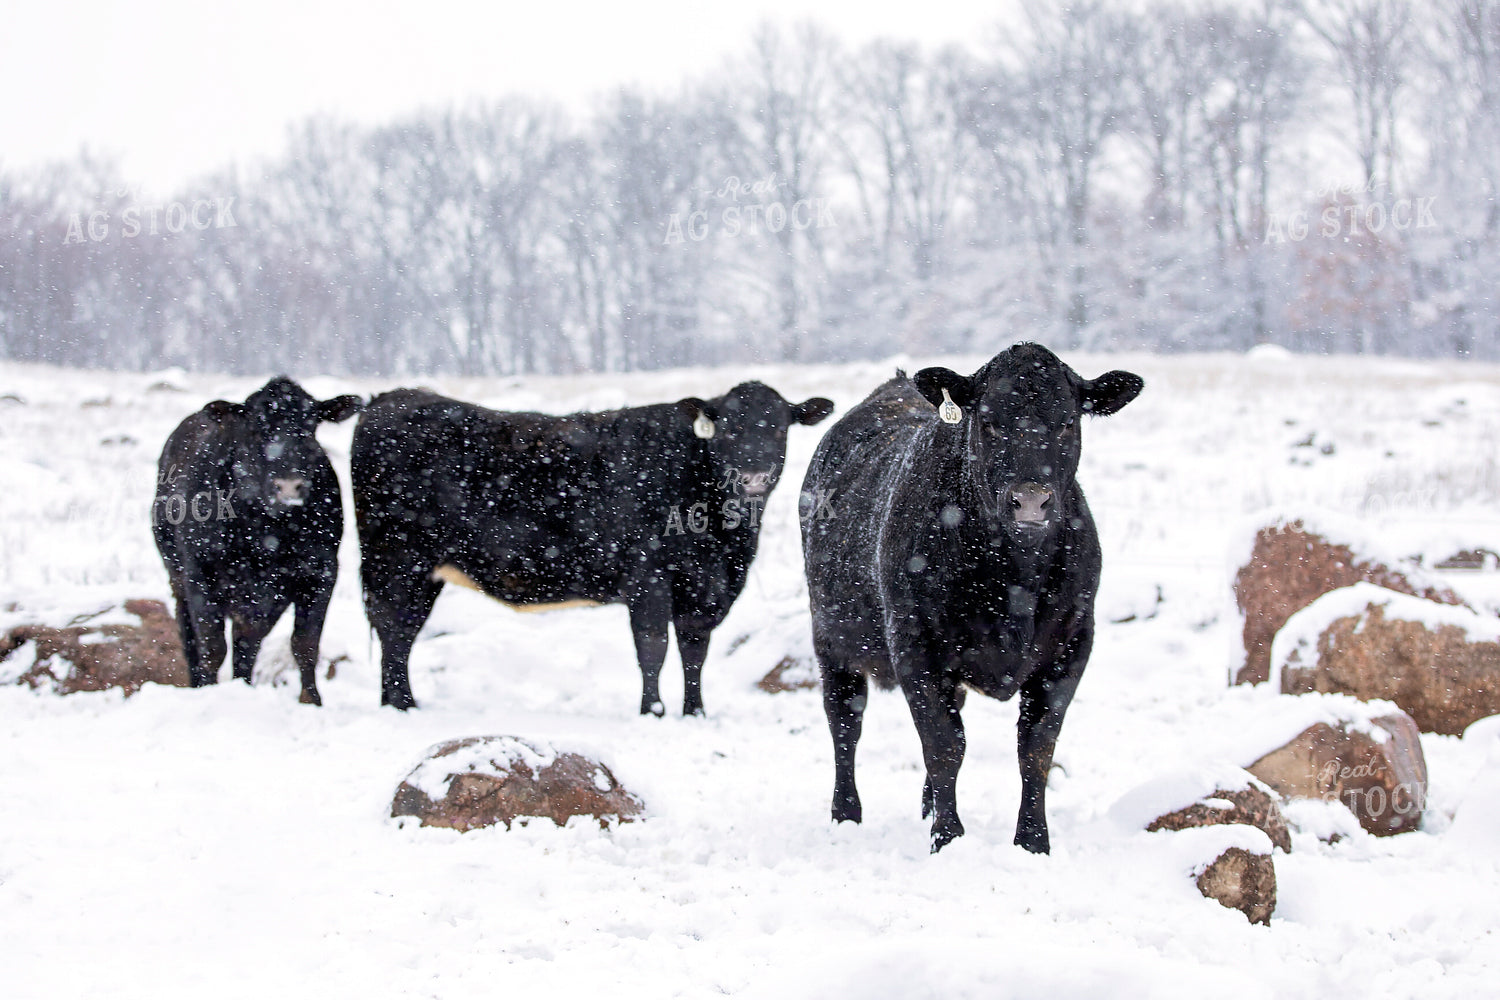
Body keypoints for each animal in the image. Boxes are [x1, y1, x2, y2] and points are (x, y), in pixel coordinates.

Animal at [153, 377, 362, 705]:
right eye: (255, 427)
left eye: (310, 426)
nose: (288, 486)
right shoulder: (200, 573)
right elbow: (211, 647)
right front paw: (210, 694)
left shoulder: (321, 573)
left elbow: (305, 644)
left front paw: (312, 701)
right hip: (177, 578)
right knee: (190, 640)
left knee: (246, 646)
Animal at [352, 382, 833, 713]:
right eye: (727, 429)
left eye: (779, 428)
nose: (753, 476)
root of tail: (390, 397)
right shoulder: (649, 576)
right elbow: (654, 648)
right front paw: (653, 712)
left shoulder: (703, 588)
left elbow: (694, 651)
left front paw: (694, 713)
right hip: (396, 559)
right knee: (393, 630)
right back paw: (401, 705)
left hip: (419, 571)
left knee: (401, 631)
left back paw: (398, 702)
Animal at [800, 343, 1142, 852]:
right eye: (989, 421)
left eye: (1067, 422)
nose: (1031, 500)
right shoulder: (915, 645)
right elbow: (944, 745)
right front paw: (948, 839)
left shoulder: (1072, 645)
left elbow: (1036, 747)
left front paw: (1033, 843)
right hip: (831, 638)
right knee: (845, 721)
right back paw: (846, 814)